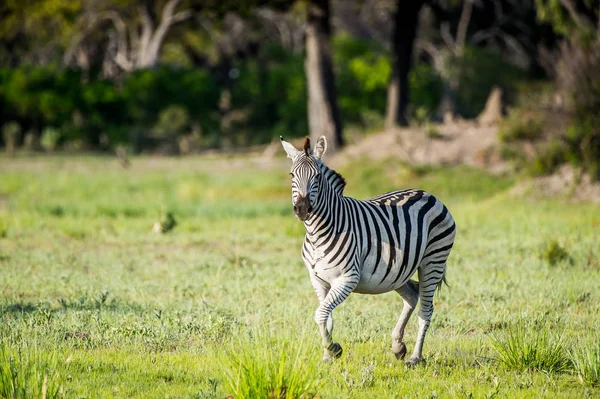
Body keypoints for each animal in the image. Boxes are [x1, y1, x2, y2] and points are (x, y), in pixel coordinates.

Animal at [280, 135, 454, 366]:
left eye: (317, 176)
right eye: (292, 175)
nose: (301, 209)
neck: (318, 232)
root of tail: (428, 194)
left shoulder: (347, 278)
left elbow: (320, 314)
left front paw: (333, 348)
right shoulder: (317, 280)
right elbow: (326, 317)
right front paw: (328, 355)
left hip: (433, 261)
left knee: (426, 310)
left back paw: (415, 357)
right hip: (398, 271)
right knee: (412, 295)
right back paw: (398, 346)